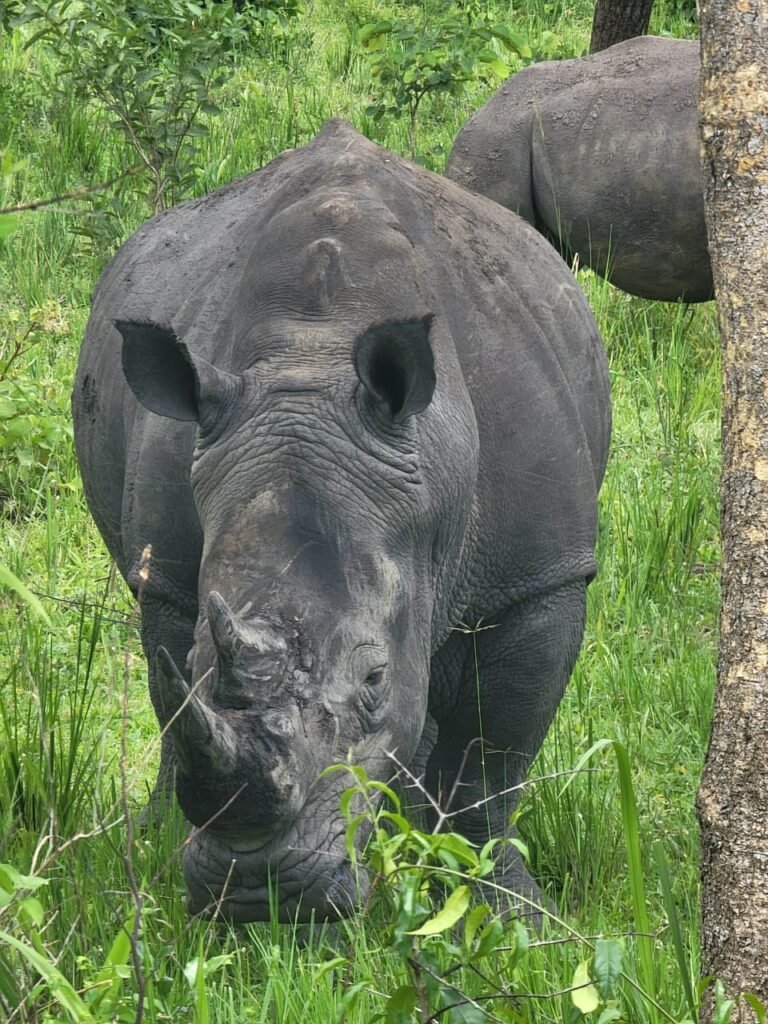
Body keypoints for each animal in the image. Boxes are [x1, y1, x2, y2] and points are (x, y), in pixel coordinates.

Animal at [73, 119, 610, 923]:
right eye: (199, 664)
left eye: (375, 679)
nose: (259, 895)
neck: (312, 360)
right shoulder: (164, 573)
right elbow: (170, 703)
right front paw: (165, 850)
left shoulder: (539, 578)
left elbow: (492, 765)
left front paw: (509, 912)